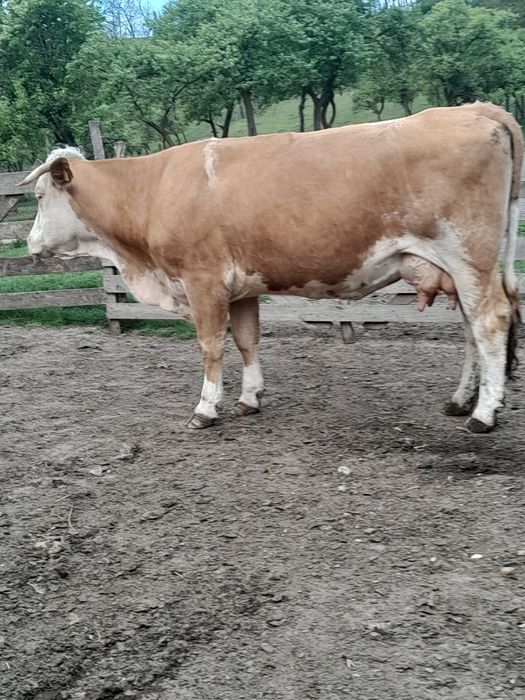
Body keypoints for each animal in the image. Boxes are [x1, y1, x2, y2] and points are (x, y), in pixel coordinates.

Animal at [20, 102, 522, 434]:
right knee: (471, 329)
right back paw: (462, 401)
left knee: (490, 322)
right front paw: (248, 399)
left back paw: (483, 414)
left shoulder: (202, 281)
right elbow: (247, 341)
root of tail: (475, 108)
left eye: (40, 195)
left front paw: (206, 408)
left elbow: (211, 346)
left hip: (468, 256)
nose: (29, 243)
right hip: (458, 269)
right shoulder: (241, 287)